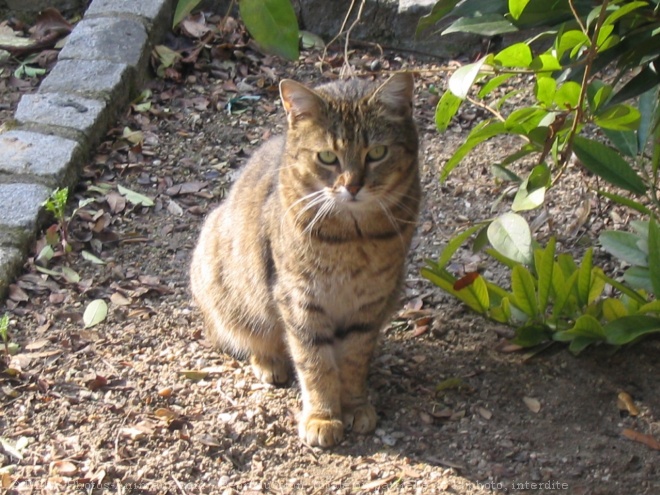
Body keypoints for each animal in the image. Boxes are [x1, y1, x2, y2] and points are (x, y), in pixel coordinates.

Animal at [188, 73, 420, 450]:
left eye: (377, 153)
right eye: (327, 157)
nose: (352, 186)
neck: (353, 239)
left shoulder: (369, 305)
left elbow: (354, 360)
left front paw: (354, 405)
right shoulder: (300, 300)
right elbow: (315, 364)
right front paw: (322, 417)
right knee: (250, 338)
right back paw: (269, 362)